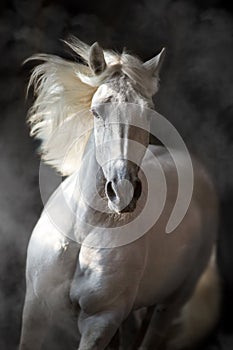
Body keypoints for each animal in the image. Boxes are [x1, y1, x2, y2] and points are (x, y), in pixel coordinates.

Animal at [19, 37, 220, 348]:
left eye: (148, 112)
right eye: (96, 111)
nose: (122, 191)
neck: (81, 232)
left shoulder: (101, 320)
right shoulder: (36, 311)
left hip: (170, 304)